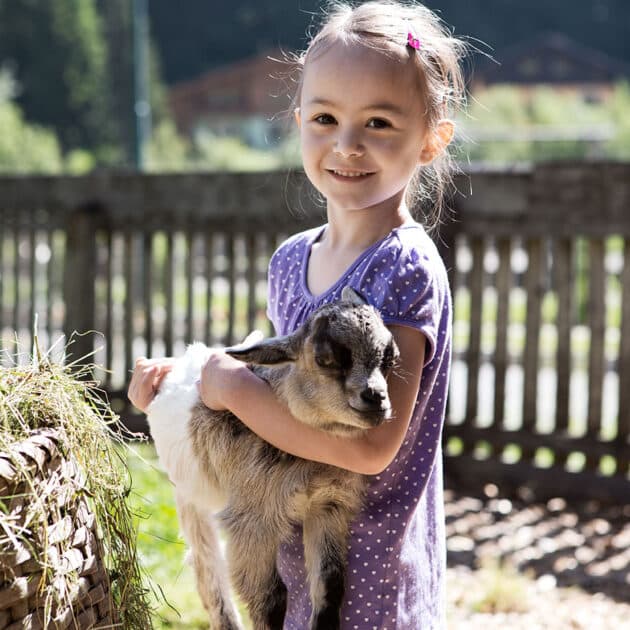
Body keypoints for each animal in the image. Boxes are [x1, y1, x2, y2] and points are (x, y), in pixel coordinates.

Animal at [148, 288, 400, 630]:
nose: (376, 399)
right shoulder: (252, 519)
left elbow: (330, 584)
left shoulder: (329, 504)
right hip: (190, 497)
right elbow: (271, 598)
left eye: (390, 357)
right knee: (207, 568)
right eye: (325, 358)